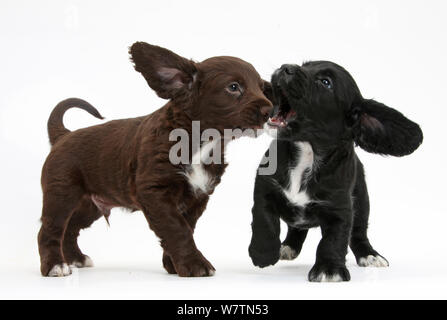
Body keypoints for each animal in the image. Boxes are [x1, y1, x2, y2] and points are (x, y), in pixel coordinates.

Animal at [38, 42, 272, 278]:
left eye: (262, 88)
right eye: (233, 87)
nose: (269, 110)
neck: (202, 142)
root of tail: (63, 135)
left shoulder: (197, 197)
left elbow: (184, 228)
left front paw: (173, 264)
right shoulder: (154, 191)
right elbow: (177, 228)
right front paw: (195, 264)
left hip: (91, 204)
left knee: (71, 228)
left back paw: (75, 258)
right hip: (62, 195)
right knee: (50, 230)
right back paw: (55, 265)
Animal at [250, 61, 426, 282]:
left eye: (326, 82)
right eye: (304, 65)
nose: (285, 67)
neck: (308, 153)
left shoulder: (340, 209)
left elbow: (333, 240)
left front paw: (329, 269)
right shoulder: (264, 188)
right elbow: (264, 220)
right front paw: (263, 253)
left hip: (361, 202)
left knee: (358, 234)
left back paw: (370, 255)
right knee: (296, 228)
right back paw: (288, 247)